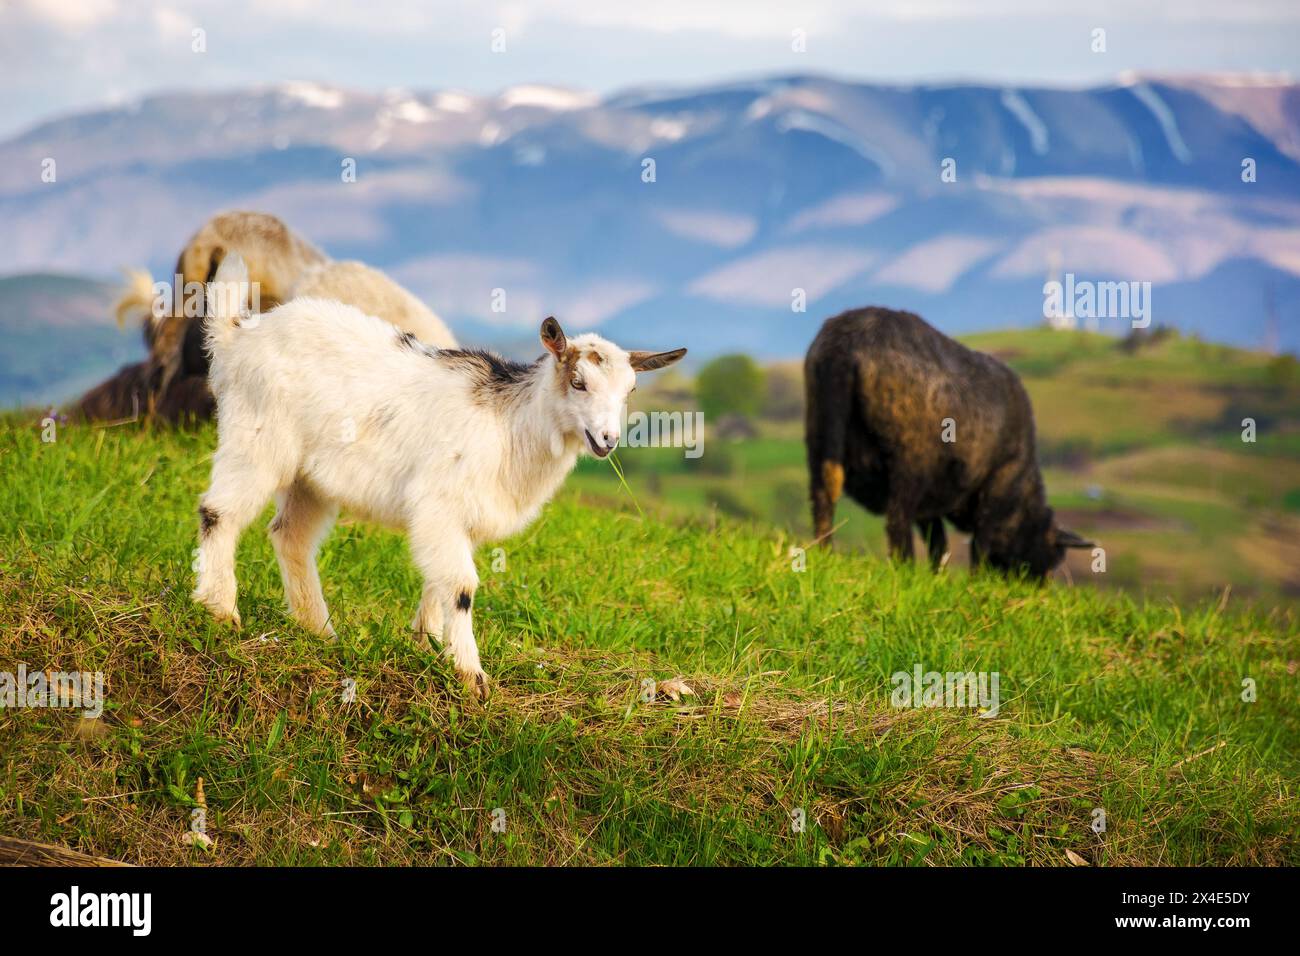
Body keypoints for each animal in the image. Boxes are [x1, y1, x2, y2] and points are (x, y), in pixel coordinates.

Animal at [192, 256, 685, 696]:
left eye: (631, 390)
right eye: (578, 381)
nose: (607, 440)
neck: (509, 425)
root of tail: (239, 334)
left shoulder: (455, 519)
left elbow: (437, 580)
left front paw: (426, 643)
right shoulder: (440, 504)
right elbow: (462, 586)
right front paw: (471, 675)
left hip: (309, 479)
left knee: (290, 536)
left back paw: (319, 630)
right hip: (256, 439)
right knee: (219, 512)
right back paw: (221, 609)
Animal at [805, 306, 1092, 579]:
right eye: (1051, 559)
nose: (1038, 587)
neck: (1022, 494)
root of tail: (846, 345)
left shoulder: (932, 502)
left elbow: (939, 543)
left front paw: (937, 578)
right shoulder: (995, 488)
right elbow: (980, 544)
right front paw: (976, 580)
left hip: (819, 434)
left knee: (823, 497)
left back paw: (824, 552)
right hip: (910, 459)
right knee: (897, 519)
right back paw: (905, 568)